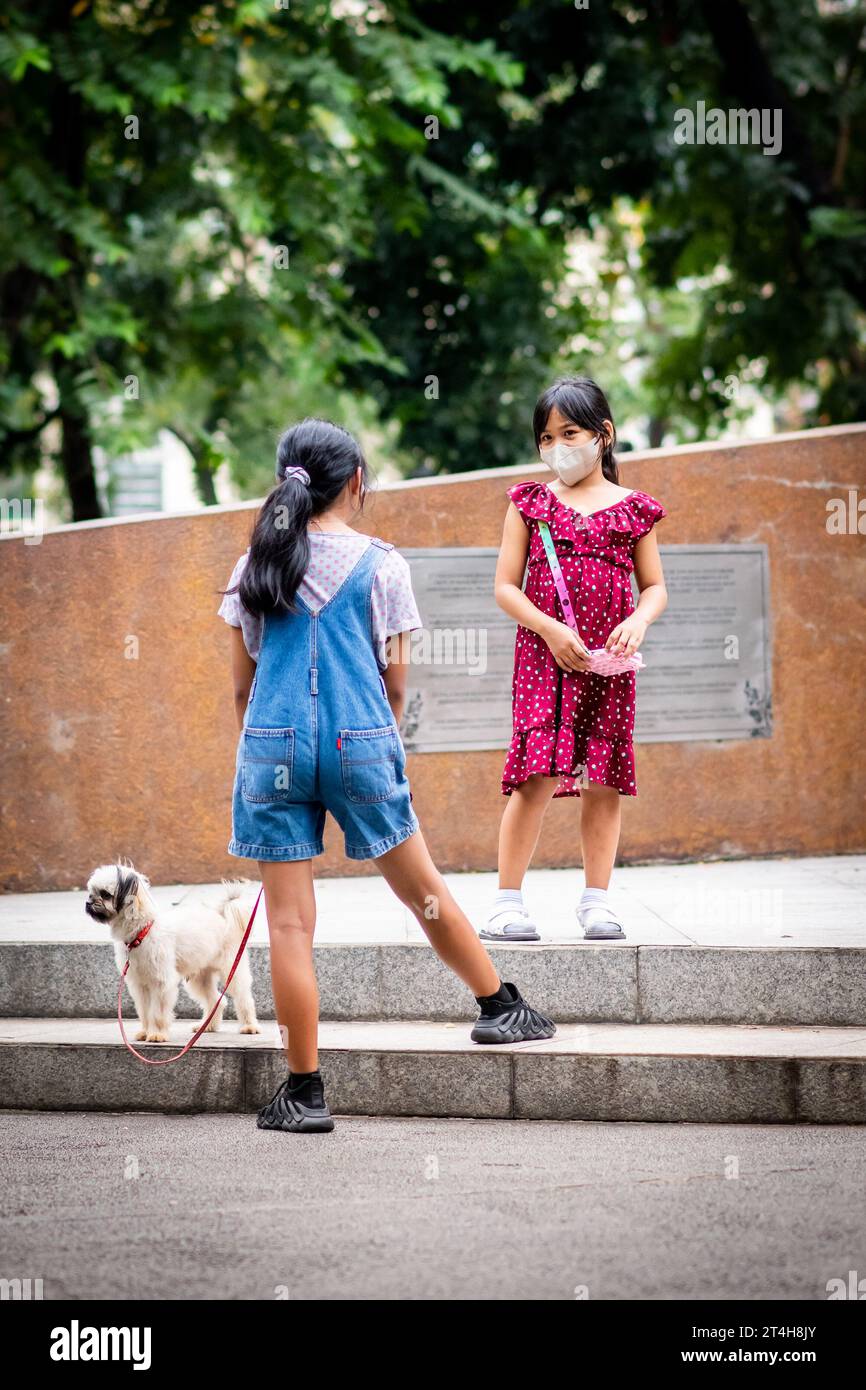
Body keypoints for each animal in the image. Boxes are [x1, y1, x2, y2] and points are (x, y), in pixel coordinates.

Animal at [85, 856, 262, 1045]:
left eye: (105, 894)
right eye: (91, 892)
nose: (88, 902)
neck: (142, 932)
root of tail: (221, 914)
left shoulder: (161, 983)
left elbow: (157, 1013)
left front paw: (156, 1034)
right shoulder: (139, 985)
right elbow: (145, 1011)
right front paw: (145, 1032)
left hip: (231, 969)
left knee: (243, 998)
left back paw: (249, 1026)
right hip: (199, 978)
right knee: (217, 1001)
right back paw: (206, 1026)